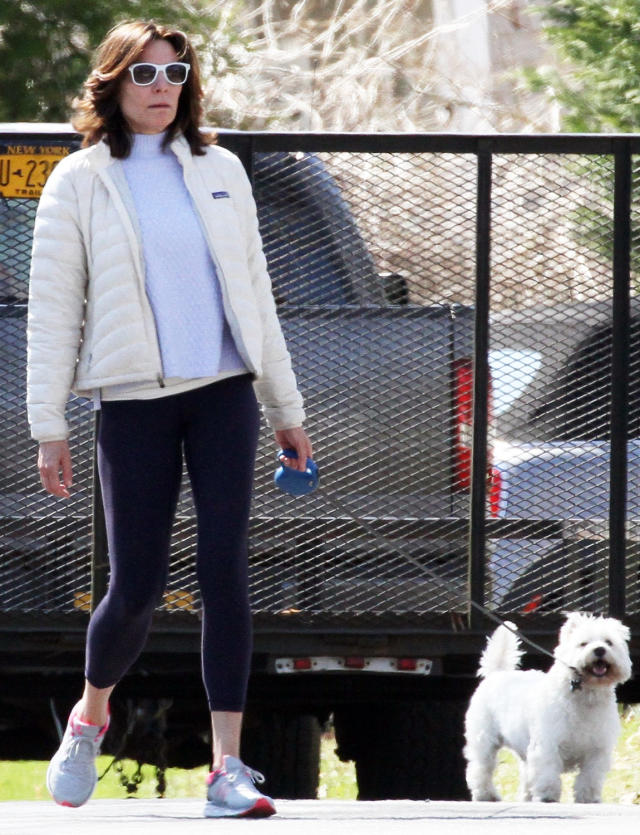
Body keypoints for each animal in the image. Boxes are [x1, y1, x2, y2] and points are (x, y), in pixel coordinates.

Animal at [462, 612, 632, 804]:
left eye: (609, 642)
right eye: (583, 643)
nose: (600, 650)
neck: (585, 694)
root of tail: (496, 673)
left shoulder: (597, 750)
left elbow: (590, 777)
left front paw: (588, 798)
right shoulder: (548, 744)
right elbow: (548, 772)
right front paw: (547, 796)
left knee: (525, 774)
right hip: (484, 741)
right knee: (481, 768)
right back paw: (487, 795)